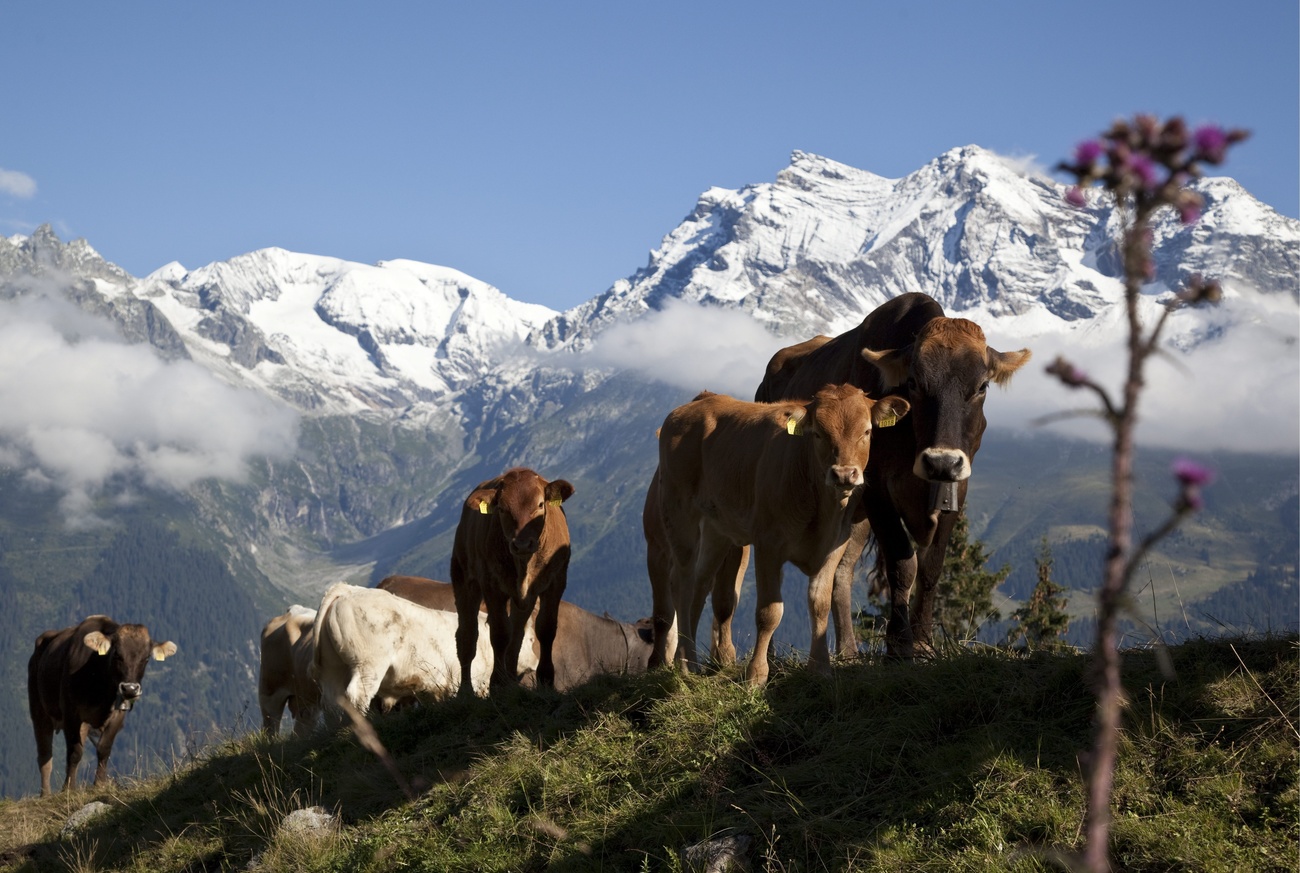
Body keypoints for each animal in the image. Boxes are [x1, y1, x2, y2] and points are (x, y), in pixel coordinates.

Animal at [27, 615, 177, 795]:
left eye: (146, 658)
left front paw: (99, 785)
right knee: (45, 757)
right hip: (39, 711)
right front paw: (69, 789)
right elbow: (74, 752)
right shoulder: (71, 713)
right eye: (117, 654)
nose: (130, 688)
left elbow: (103, 748)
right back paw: (45, 794)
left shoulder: (118, 715)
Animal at [311, 583, 536, 715]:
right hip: (369, 664)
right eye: (531, 639)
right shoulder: (469, 680)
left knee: (333, 702)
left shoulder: (437, 689)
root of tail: (350, 590)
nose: (536, 661)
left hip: (332, 668)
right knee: (358, 695)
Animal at [451, 468, 574, 693]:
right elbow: (499, 634)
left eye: (540, 504)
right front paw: (497, 684)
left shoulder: (557, 581)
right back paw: (466, 691)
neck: (524, 564)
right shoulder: (491, 584)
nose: (522, 544)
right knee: (467, 635)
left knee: (516, 633)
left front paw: (546, 680)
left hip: (524, 600)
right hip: (463, 576)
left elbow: (546, 628)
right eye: (502, 509)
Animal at [654, 384, 910, 685]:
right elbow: (769, 613)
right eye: (818, 433)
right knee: (681, 583)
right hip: (679, 512)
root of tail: (693, 406)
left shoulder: (835, 545)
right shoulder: (768, 543)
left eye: (867, 431)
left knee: (700, 582)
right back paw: (686, 664)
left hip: (718, 529)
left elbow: (819, 603)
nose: (844, 475)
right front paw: (756, 675)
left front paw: (820, 668)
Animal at [754, 291, 1031, 657]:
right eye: (913, 383)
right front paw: (899, 647)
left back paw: (848, 652)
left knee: (841, 572)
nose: (941, 461)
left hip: (853, 515)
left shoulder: (956, 485)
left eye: (982, 386)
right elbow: (903, 565)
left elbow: (931, 567)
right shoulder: (876, 490)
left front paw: (924, 643)